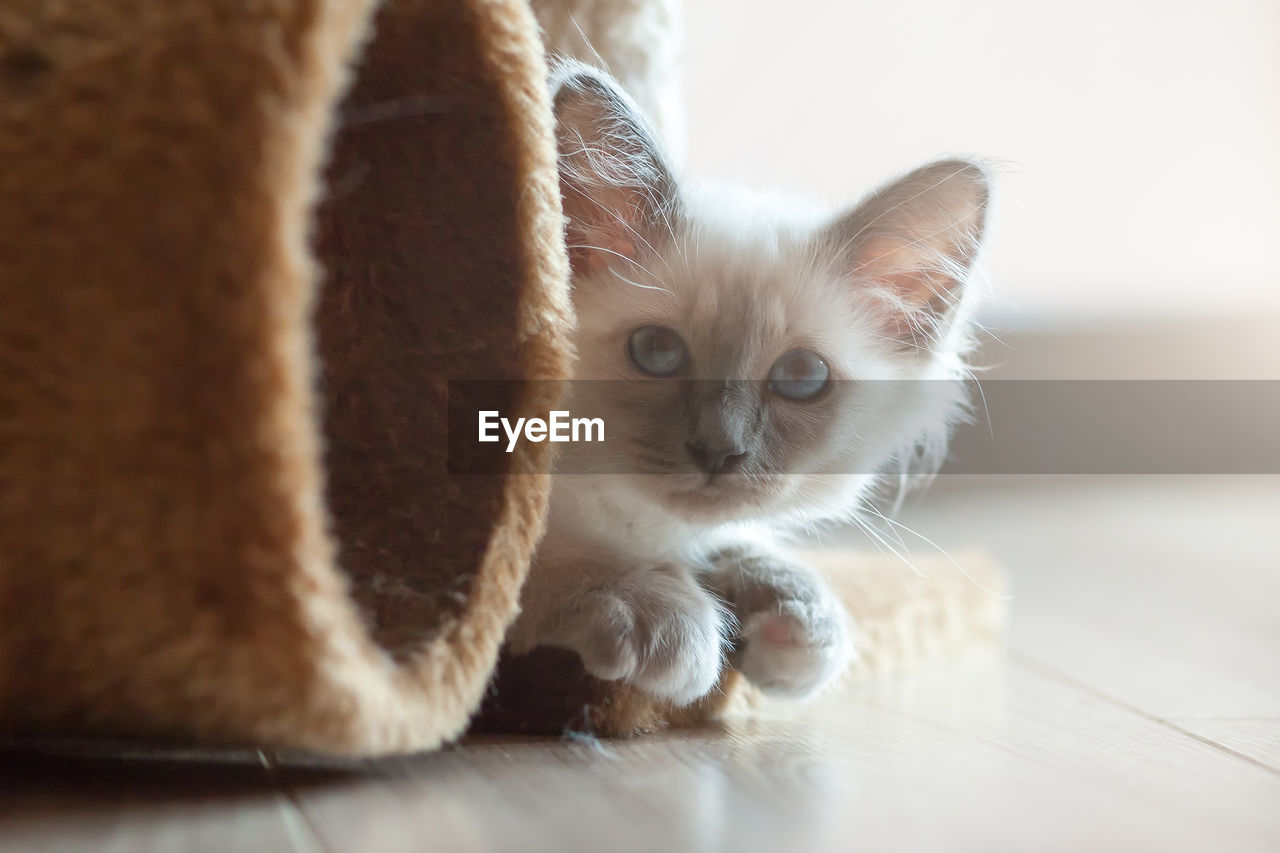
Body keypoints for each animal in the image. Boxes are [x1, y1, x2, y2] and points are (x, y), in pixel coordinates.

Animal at [504, 63, 983, 701]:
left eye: (801, 377)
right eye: (657, 352)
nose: (718, 451)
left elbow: (746, 547)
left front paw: (798, 623)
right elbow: (541, 559)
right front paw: (667, 620)